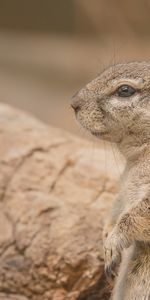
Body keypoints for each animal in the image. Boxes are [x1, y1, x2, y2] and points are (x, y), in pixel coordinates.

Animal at [71, 61, 150, 300]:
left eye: (125, 90)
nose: (73, 103)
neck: (135, 160)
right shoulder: (123, 184)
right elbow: (118, 204)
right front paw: (106, 233)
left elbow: (136, 215)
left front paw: (113, 241)